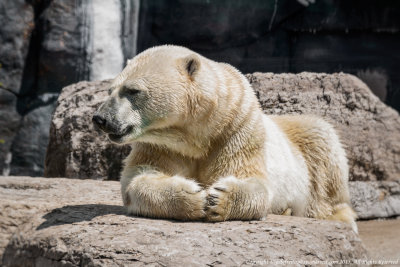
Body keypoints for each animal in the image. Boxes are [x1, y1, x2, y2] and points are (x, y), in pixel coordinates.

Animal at [93, 44, 356, 232]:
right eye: (110, 90)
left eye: (133, 90)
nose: (100, 118)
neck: (198, 132)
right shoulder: (162, 145)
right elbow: (139, 178)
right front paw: (194, 196)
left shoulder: (236, 129)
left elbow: (251, 180)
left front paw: (217, 199)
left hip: (304, 142)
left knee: (324, 150)